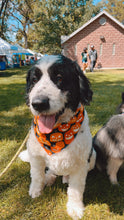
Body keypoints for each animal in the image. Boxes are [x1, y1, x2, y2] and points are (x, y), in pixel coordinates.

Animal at [19, 54, 96, 218]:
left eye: (59, 77)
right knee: (50, 171)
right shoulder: (35, 156)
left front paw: (75, 208)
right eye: (34, 80)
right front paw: (35, 190)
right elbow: (37, 175)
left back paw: (65, 178)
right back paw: (49, 178)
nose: (38, 103)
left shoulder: (81, 164)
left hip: (93, 156)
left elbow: (76, 189)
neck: (58, 134)